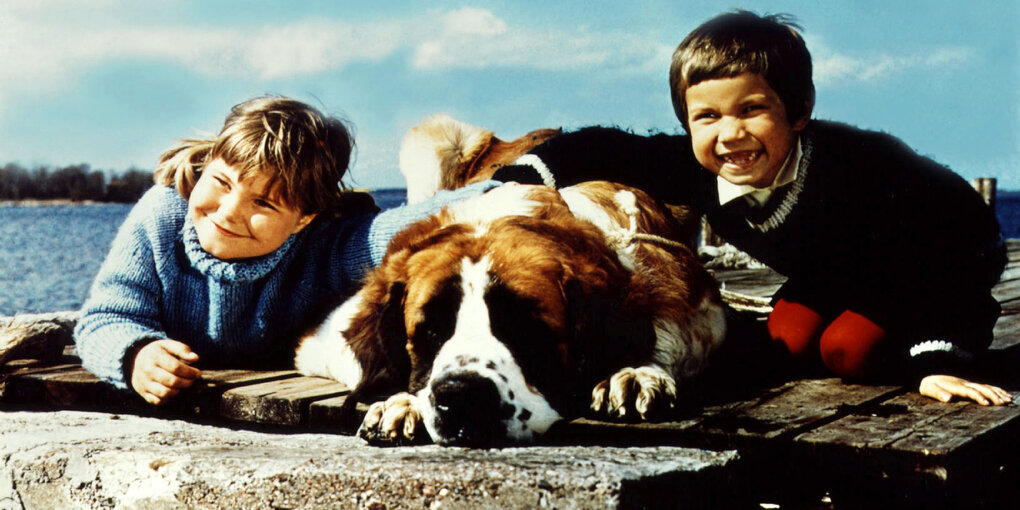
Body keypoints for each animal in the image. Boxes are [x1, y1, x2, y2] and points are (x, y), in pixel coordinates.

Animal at [295, 115, 726, 446]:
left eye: (522, 325)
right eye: (431, 331)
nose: (461, 395)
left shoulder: (696, 299)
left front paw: (635, 371)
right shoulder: (323, 336)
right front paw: (403, 401)